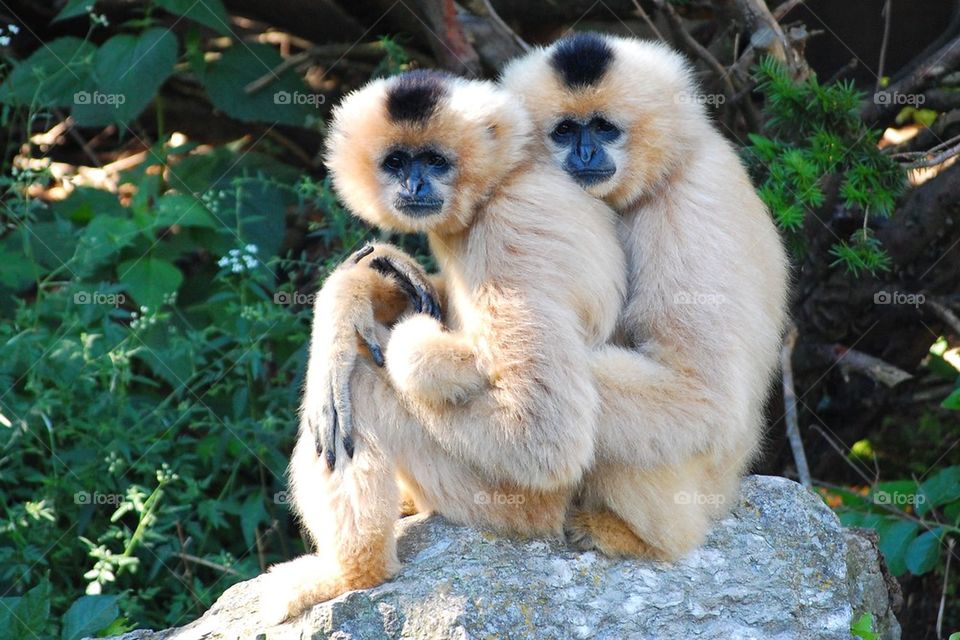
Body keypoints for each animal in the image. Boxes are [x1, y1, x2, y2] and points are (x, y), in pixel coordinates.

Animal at [258, 69, 628, 623]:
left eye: (434, 161)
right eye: (396, 162)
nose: (414, 184)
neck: (507, 180)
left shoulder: (512, 232)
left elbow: (544, 436)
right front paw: (369, 281)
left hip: (504, 500)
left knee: (359, 389)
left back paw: (355, 574)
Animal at [499, 32, 790, 557]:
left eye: (603, 128)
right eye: (566, 130)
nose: (585, 155)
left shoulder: (686, 208)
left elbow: (698, 390)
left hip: (699, 485)